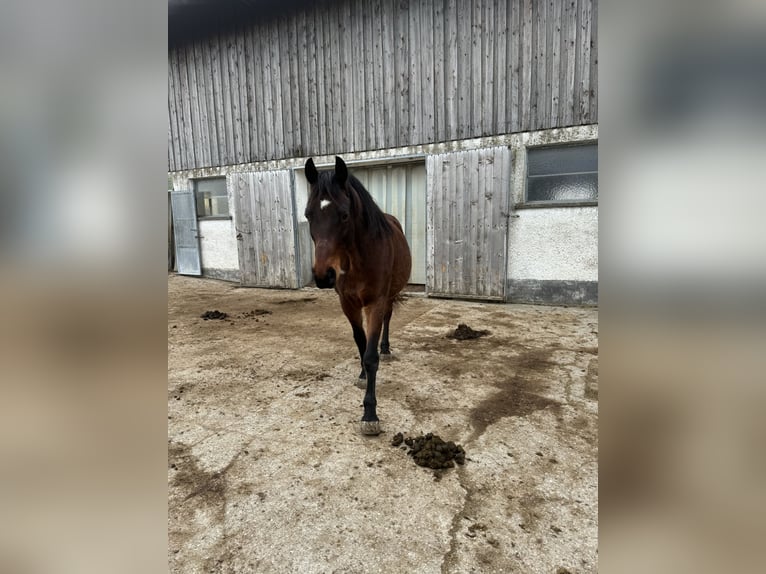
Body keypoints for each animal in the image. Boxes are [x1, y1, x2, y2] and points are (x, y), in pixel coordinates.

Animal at [304, 156, 412, 436]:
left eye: (344, 215)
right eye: (308, 215)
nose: (324, 276)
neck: (358, 258)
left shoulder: (375, 302)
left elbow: (371, 356)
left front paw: (370, 414)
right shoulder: (348, 304)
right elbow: (360, 342)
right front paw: (363, 375)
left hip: (389, 297)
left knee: (387, 318)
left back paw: (386, 348)